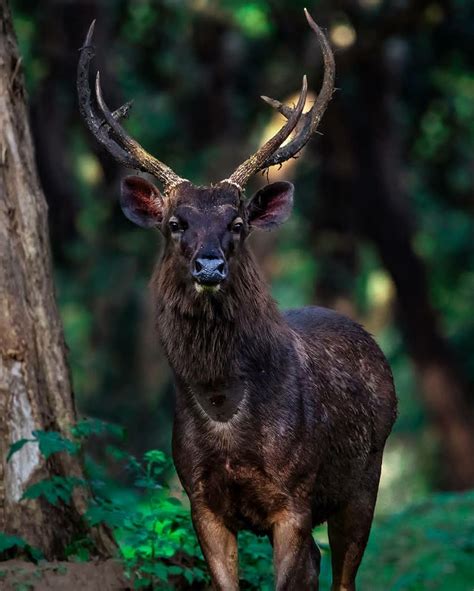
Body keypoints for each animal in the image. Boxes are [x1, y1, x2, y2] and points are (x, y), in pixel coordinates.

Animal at [78, 10, 396, 591]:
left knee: (343, 571)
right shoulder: (199, 499)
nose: (209, 266)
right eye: (174, 223)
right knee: (317, 564)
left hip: (366, 477)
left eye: (239, 223)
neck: (226, 412)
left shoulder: (295, 495)